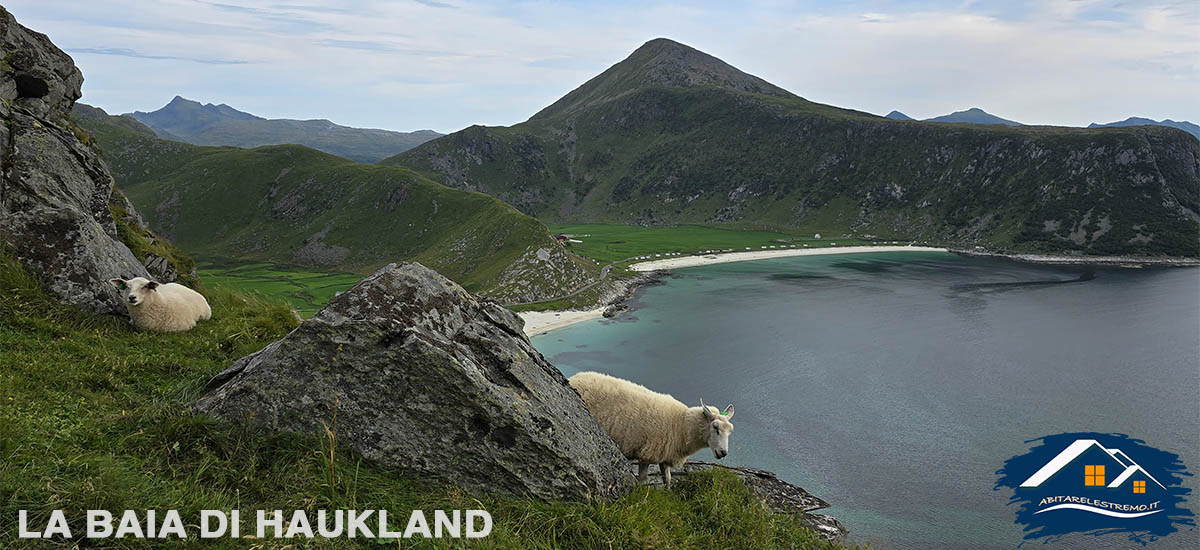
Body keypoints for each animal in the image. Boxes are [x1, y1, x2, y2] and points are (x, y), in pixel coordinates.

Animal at [568, 372, 734, 487]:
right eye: (715, 427)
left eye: (730, 431)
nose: (723, 453)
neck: (682, 425)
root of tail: (574, 378)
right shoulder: (647, 453)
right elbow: (642, 479)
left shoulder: (665, 456)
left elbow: (667, 479)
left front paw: (668, 494)